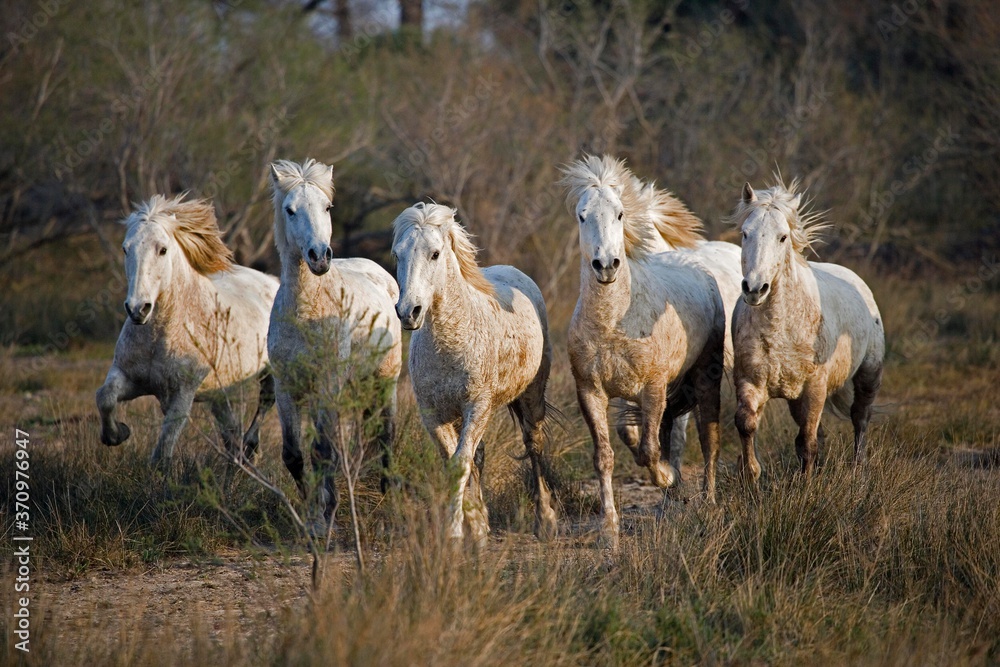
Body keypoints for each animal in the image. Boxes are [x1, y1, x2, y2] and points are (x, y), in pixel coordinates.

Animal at [96, 194, 279, 467]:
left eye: (162, 249)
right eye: (125, 248)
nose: (138, 309)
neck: (159, 337)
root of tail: (273, 282)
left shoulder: (183, 393)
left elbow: (165, 446)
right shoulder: (127, 375)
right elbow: (105, 397)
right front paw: (117, 434)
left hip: (270, 372)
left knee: (265, 403)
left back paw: (250, 448)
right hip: (217, 392)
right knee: (230, 428)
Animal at [267, 158, 402, 527]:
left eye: (327, 207)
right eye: (290, 210)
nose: (319, 257)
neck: (306, 313)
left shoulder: (327, 383)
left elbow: (323, 450)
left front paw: (327, 513)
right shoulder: (286, 386)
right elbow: (294, 454)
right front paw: (311, 512)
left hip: (385, 380)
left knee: (386, 433)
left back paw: (388, 490)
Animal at [392, 202, 558, 544]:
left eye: (435, 253)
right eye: (397, 254)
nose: (408, 312)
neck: (451, 341)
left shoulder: (478, 407)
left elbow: (460, 463)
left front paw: (455, 533)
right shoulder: (434, 415)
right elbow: (456, 463)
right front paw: (475, 525)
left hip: (531, 396)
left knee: (533, 445)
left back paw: (545, 521)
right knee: (477, 456)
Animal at [560, 156, 728, 550]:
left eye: (620, 214)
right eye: (581, 215)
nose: (606, 265)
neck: (613, 322)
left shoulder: (652, 388)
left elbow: (652, 451)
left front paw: (667, 478)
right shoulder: (591, 391)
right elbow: (606, 455)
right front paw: (609, 529)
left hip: (704, 377)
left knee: (707, 438)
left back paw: (706, 500)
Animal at [731, 180, 884, 481]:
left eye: (782, 237)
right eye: (745, 233)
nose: (754, 289)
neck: (780, 328)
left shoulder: (814, 387)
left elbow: (806, 442)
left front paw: (806, 486)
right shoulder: (749, 381)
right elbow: (746, 425)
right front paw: (751, 477)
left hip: (868, 374)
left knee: (860, 418)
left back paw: (858, 470)